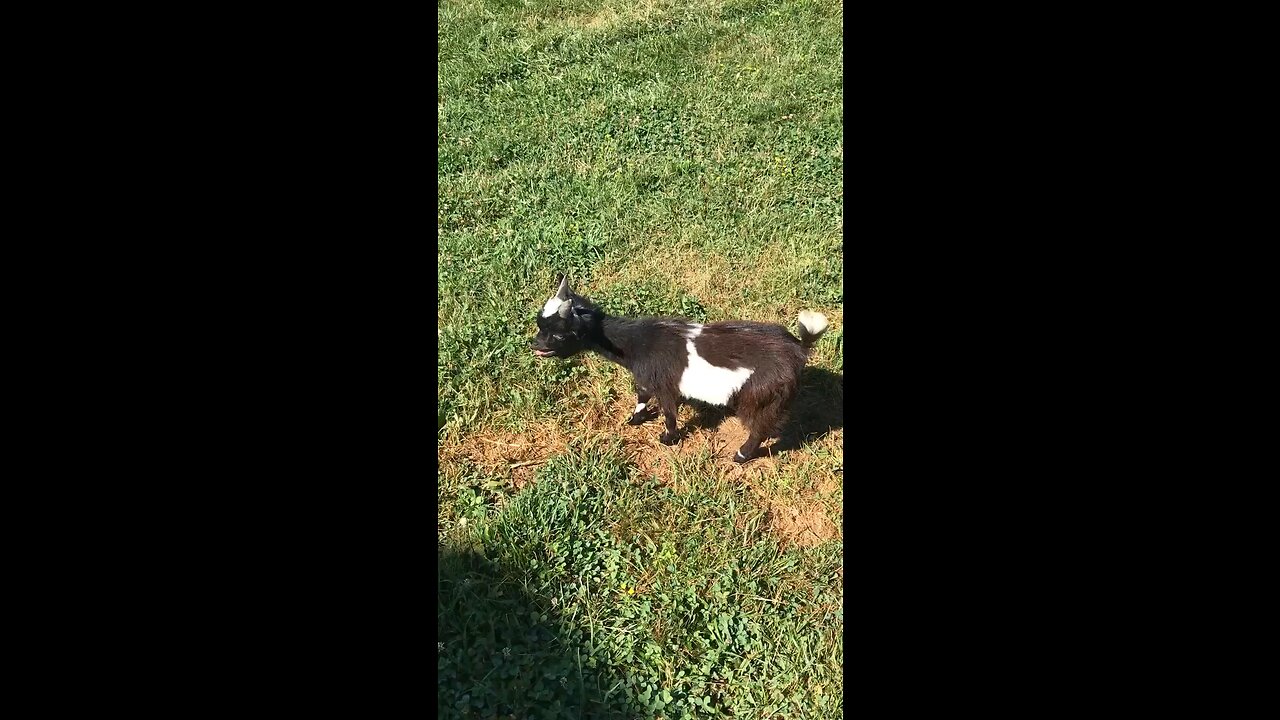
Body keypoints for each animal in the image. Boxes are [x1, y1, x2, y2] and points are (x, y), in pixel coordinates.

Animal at [529, 276, 829, 463]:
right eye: (540, 325)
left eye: (559, 334)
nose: (534, 345)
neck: (638, 343)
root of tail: (799, 349)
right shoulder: (647, 376)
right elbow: (642, 394)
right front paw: (636, 419)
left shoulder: (664, 383)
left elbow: (669, 412)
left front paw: (667, 438)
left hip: (759, 396)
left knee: (760, 428)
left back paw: (741, 456)